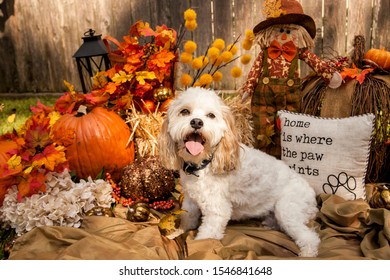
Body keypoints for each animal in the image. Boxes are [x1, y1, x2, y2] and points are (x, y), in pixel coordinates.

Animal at [158, 87, 320, 256]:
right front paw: (177, 233)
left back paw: (307, 253)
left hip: (288, 210)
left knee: (310, 238)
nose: (196, 122)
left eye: (211, 115)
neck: (203, 165)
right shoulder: (190, 201)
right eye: (184, 111)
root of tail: (312, 194)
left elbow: (205, 239)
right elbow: (187, 219)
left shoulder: (217, 211)